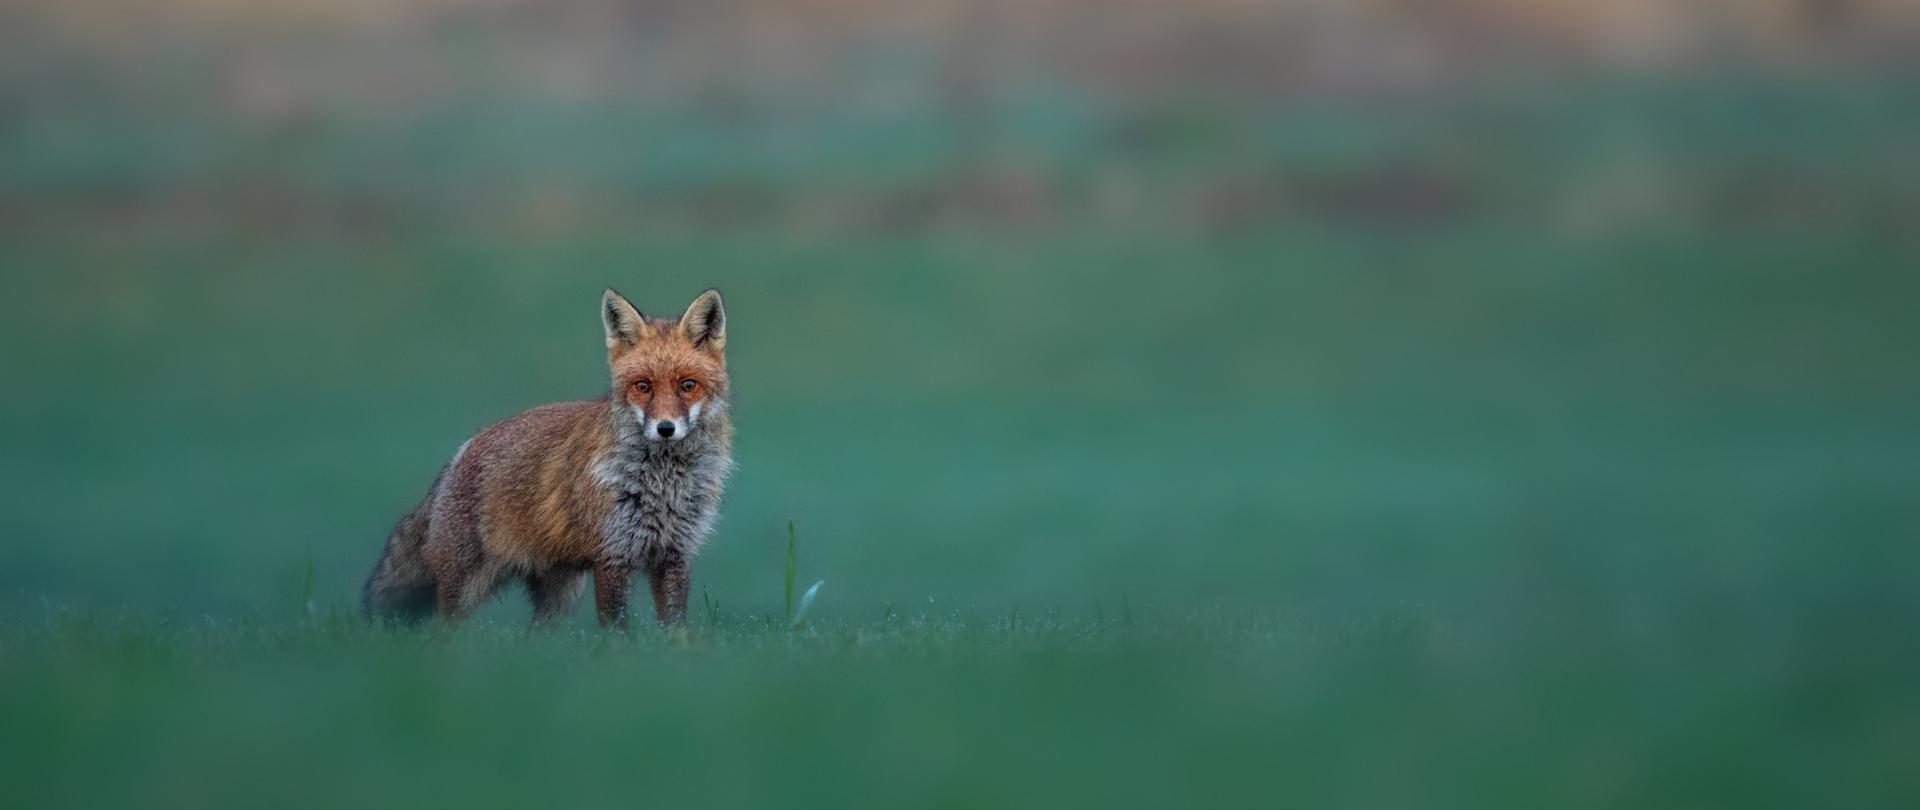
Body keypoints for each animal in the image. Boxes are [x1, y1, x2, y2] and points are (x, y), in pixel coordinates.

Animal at [362, 287, 729, 629]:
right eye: (643, 386)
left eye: (687, 385)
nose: (665, 428)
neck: (664, 484)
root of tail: (463, 450)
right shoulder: (611, 555)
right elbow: (617, 631)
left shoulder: (673, 554)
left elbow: (675, 629)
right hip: (466, 587)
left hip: (560, 594)